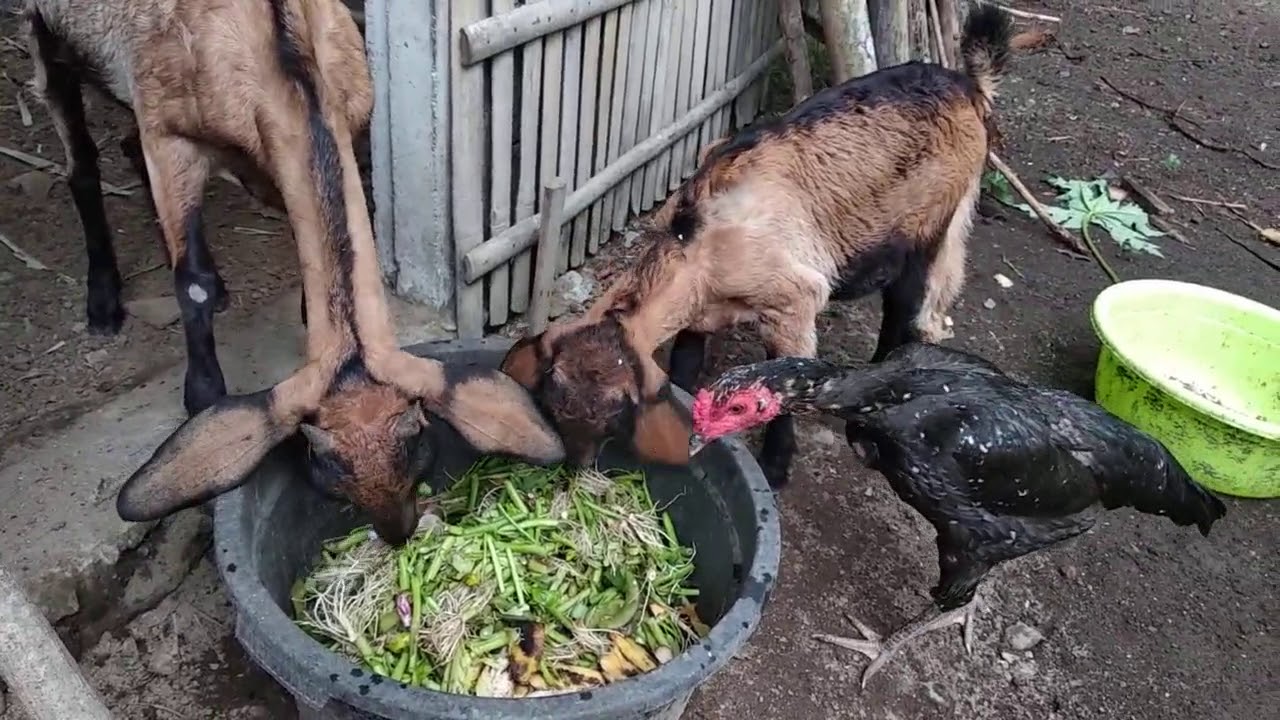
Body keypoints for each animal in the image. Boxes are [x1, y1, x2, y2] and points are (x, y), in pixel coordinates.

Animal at [58, 0, 565, 543]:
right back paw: (103, 305)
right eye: (323, 468)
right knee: (81, 161)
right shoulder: (167, 132)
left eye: (418, 447)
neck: (287, 56)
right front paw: (201, 395)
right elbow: (190, 279)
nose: (397, 532)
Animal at [504, 5, 1013, 484]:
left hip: (930, 223)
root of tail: (967, 84)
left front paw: (774, 468)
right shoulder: (700, 311)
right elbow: (686, 366)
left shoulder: (795, 300)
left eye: (614, 415)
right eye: (553, 403)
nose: (576, 466)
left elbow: (782, 387)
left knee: (904, 302)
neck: (697, 237)